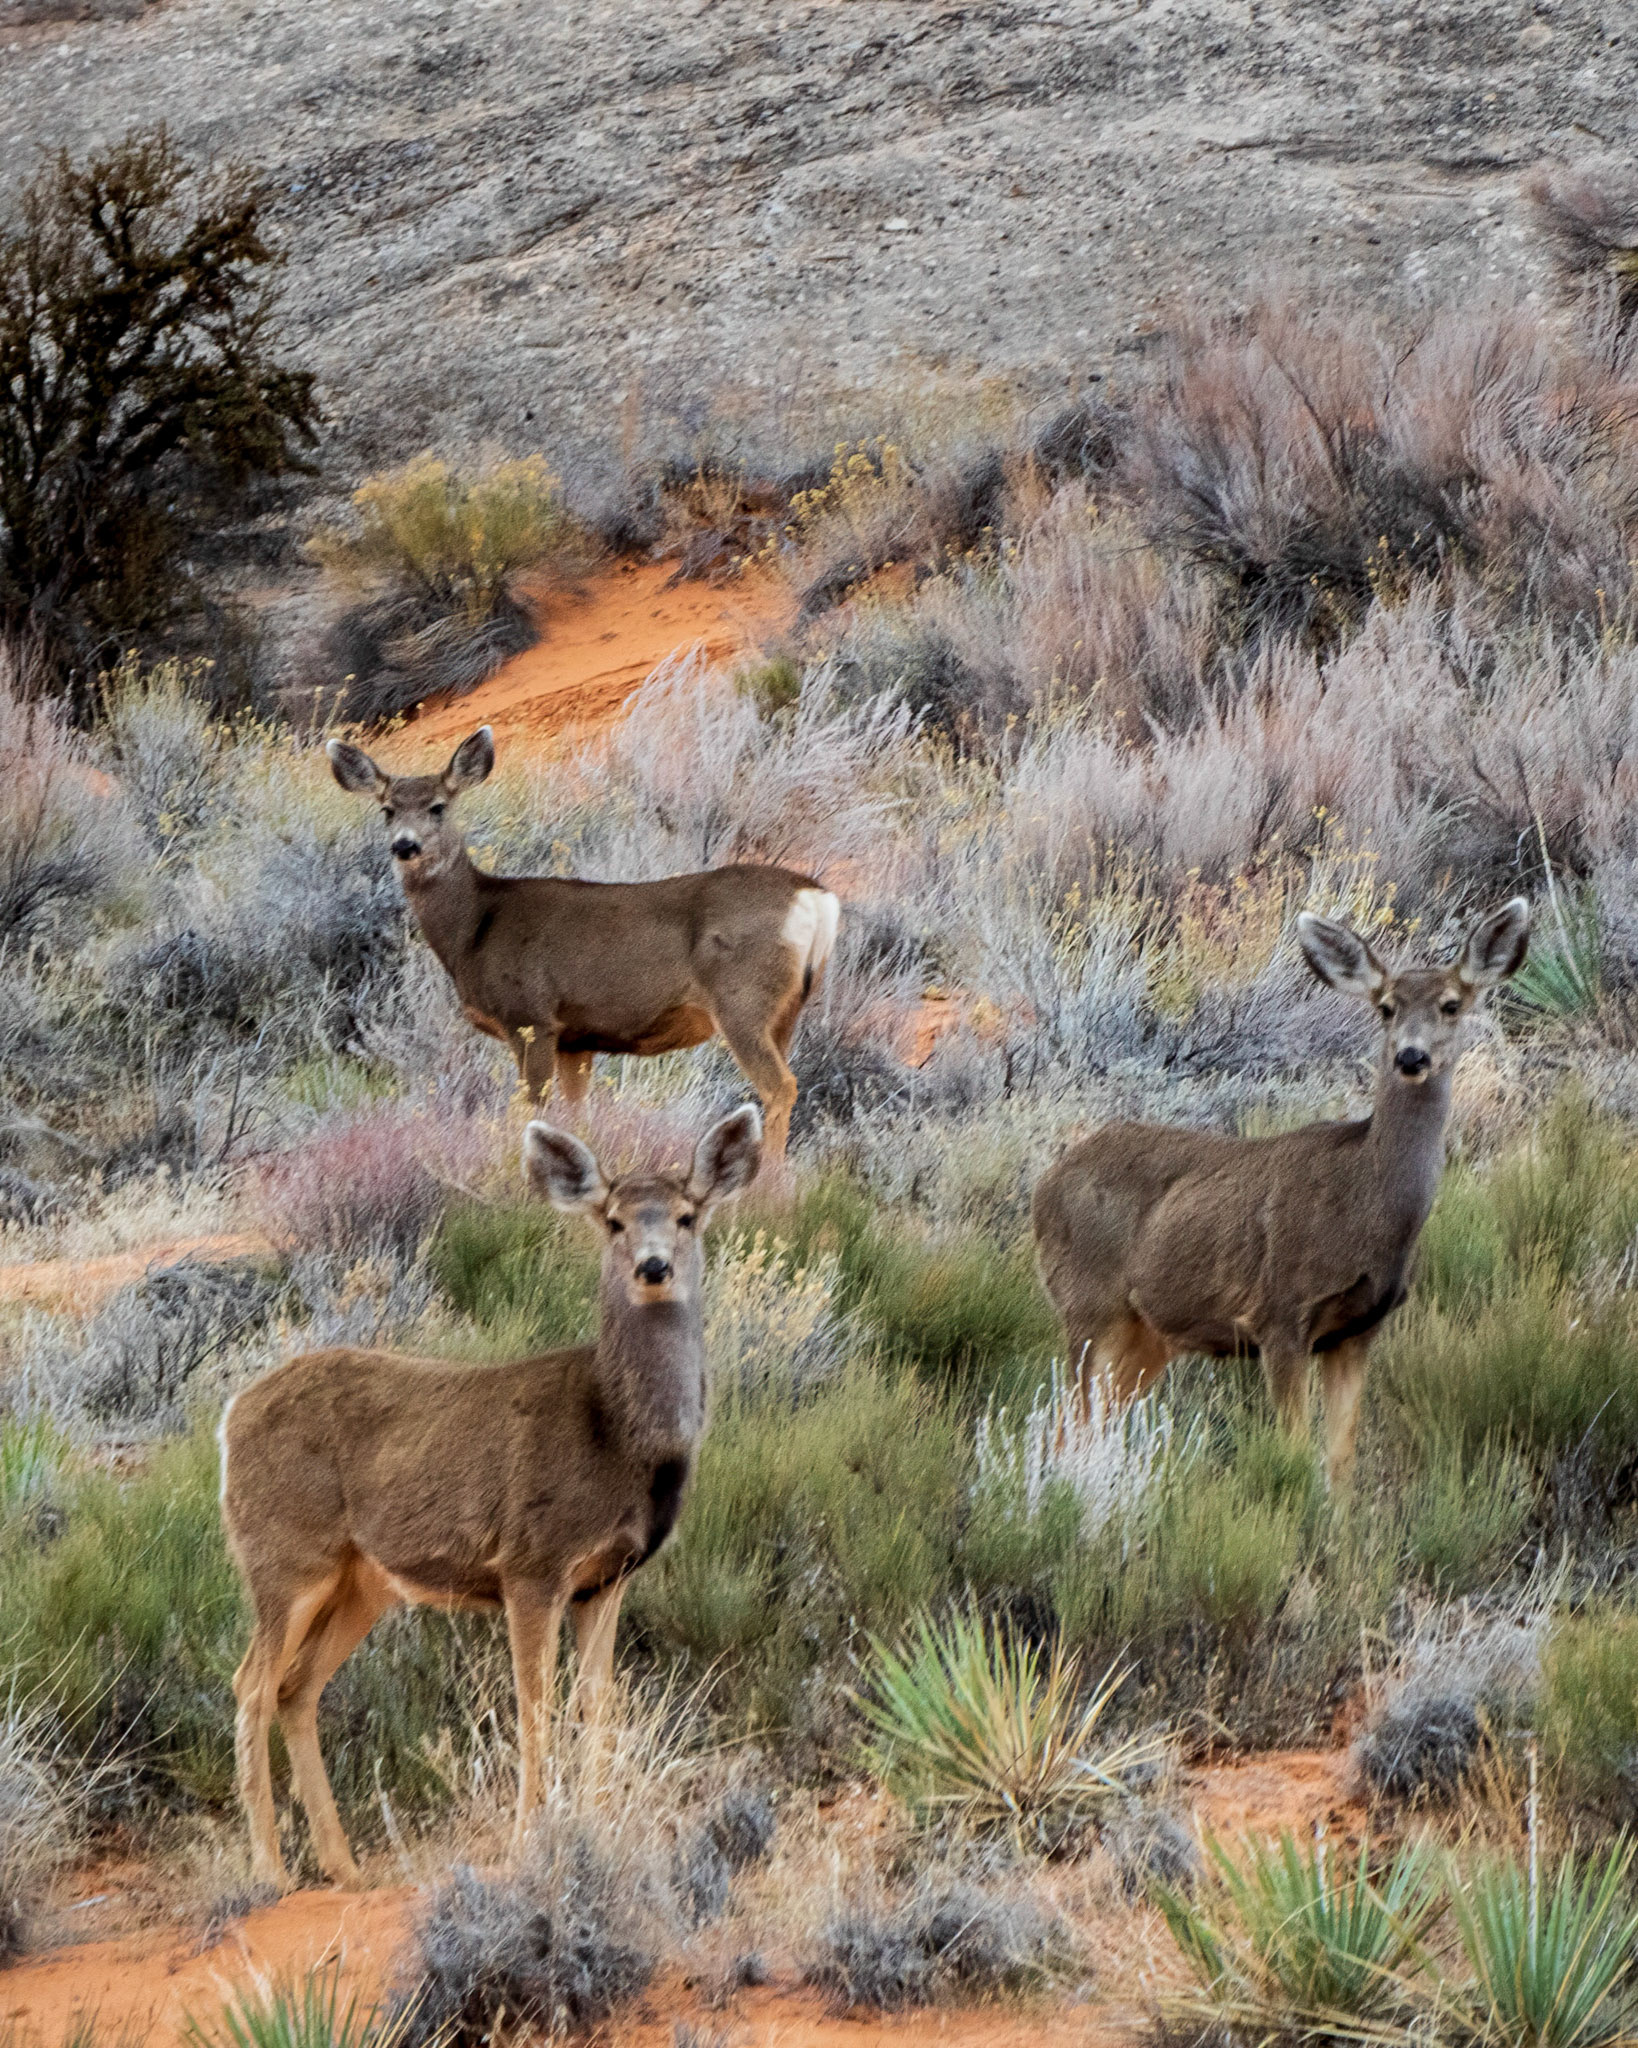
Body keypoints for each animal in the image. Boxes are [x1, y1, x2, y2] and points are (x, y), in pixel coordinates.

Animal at [221, 1104, 762, 1890]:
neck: (618, 1438)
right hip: (287, 1555)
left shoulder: (606, 1579)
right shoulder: (530, 1563)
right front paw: (530, 1839)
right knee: (252, 1684)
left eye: (688, 1216)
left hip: (361, 1582)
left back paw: (344, 1865)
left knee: (296, 1687)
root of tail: (228, 1419)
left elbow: (597, 1703)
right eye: (613, 1221)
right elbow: (535, 1703)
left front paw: (595, 1823)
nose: (653, 1267)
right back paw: (269, 1870)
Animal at [326, 726, 839, 1158]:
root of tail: (816, 896)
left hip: (741, 997)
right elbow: (577, 1117)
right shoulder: (575, 1038)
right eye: (387, 809)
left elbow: (532, 1108)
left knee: (779, 1086)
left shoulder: (531, 1017)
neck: (473, 930)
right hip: (788, 1008)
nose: (405, 846)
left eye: (438, 806)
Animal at [1030, 899, 1530, 1489]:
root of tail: (1045, 1183)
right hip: (1087, 1303)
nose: (1411, 1057)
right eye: (1386, 1008)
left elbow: (1341, 1462)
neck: (1368, 1208)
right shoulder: (1280, 1313)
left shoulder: (1358, 1330)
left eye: (1451, 1005)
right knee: (1069, 1427)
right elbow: (1294, 1455)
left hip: (1148, 1330)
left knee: (1095, 1420)